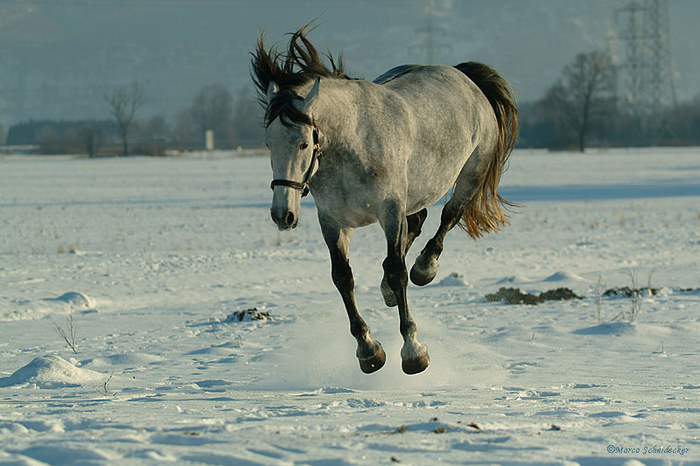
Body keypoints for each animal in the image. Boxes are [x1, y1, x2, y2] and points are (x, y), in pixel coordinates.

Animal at [250, 25, 516, 374]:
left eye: (304, 143)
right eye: (268, 143)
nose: (283, 215)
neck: (352, 144)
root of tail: (463, 75)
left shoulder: (389, 210)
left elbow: (397, 271)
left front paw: (413, 351)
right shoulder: (332, 221)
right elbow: (343, 277)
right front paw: (368, 350)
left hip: (470, 174)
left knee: (448, 216)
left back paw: (425, 267)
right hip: (415, 193)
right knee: (417, 222)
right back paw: (390, 289)